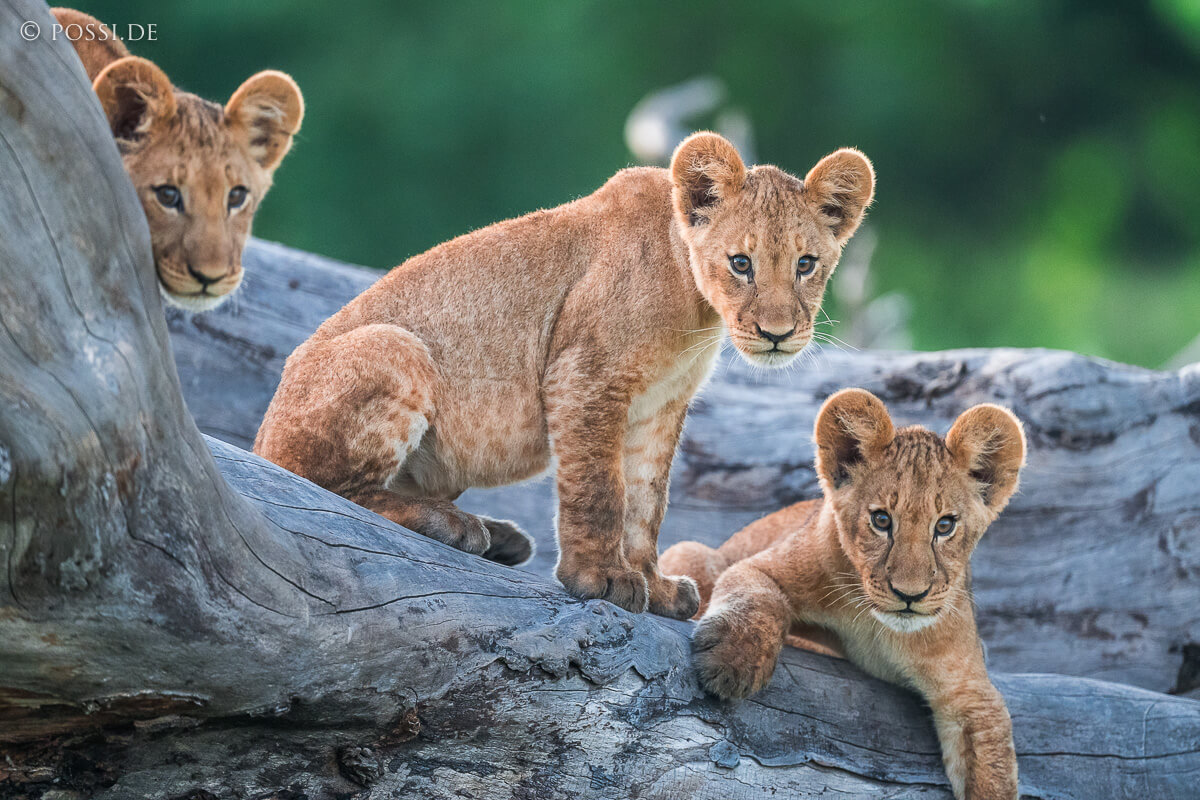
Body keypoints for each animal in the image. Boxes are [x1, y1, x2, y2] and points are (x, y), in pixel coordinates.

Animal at [254, 131, 875, 619]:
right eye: (740, 263)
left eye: (806, 264)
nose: (777, 334)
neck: (696, 308)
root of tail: (260, 436)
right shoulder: (585, 376)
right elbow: (600, 490)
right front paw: (599, 579)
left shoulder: (660, 407)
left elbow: (646, 502)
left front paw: (654, 586)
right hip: (395, 345)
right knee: (321, 488)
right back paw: (451, 524)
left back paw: (496, 537)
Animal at [660, 388, 1026, 798]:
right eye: (881, 520)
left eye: (945, 525)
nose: (910, 595)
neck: (879, 629)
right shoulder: (763, 565)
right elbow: (758, 596)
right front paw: (733, 662)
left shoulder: (972, 694)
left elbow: (992, 773)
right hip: (695, 552)